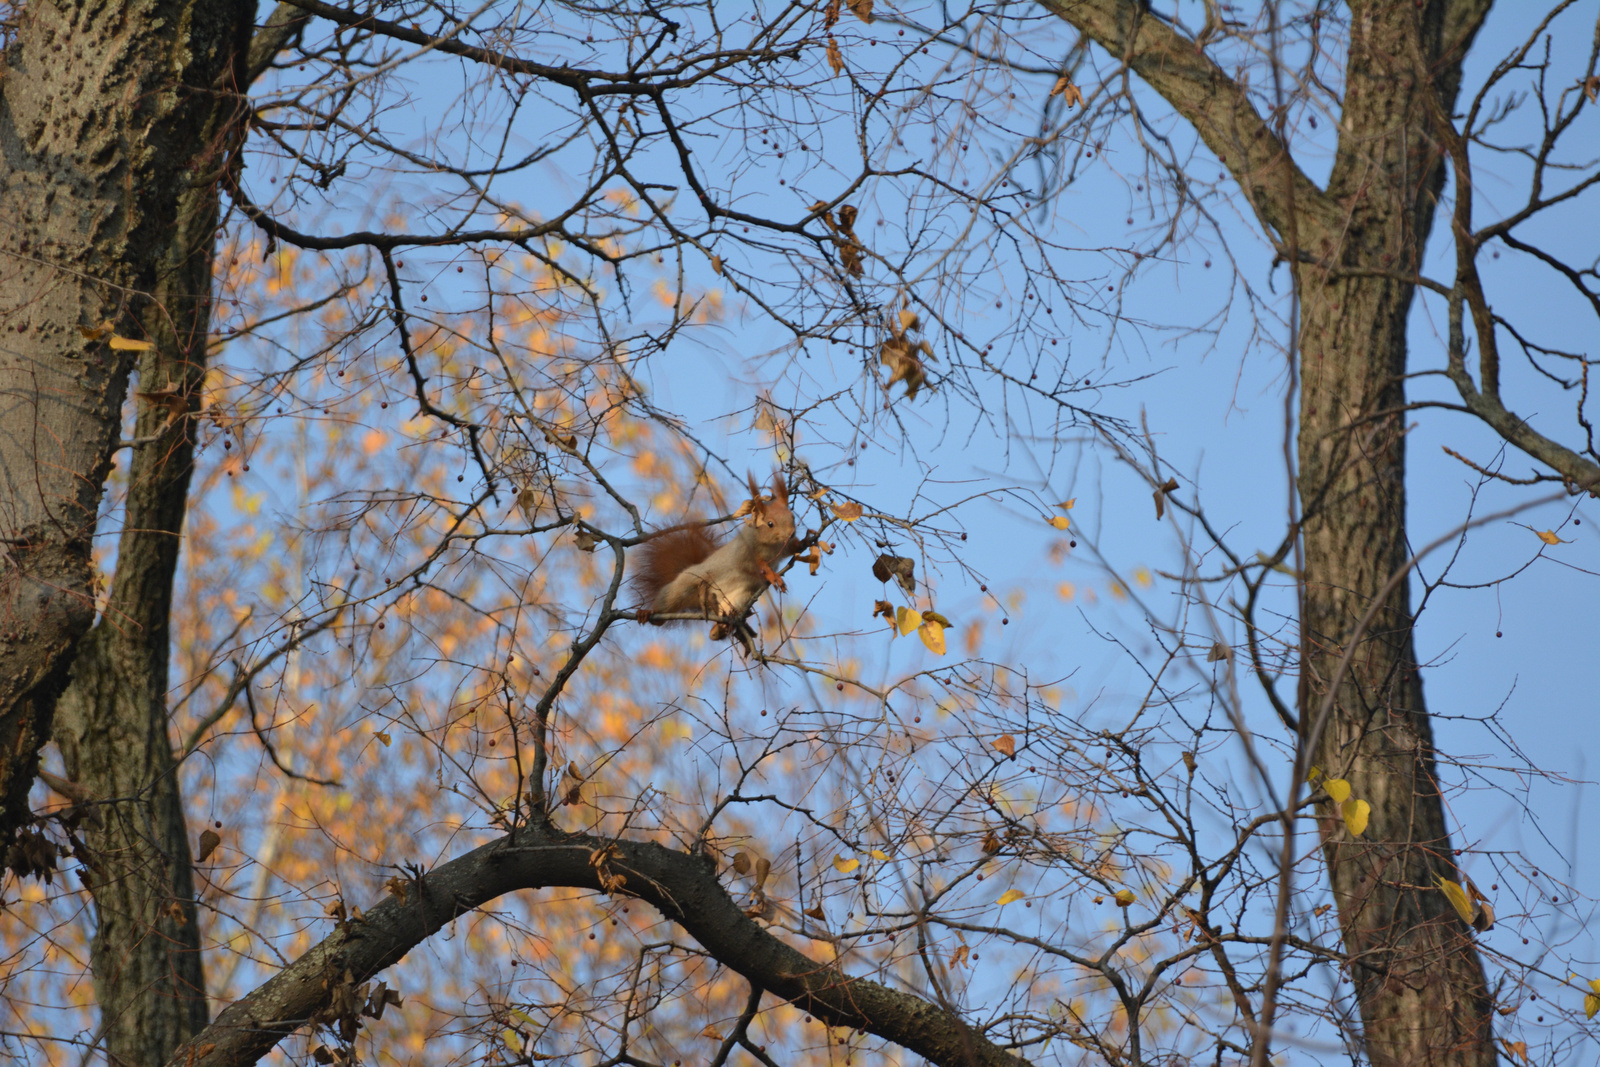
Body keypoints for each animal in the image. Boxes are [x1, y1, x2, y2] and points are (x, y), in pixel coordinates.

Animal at [630, 470, 793, 639]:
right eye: (770, 524)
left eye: (792, 516)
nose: (791, 534)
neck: (771, 546)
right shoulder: (744, 552)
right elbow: (754, 565)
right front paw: (772, 575)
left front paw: (801, 544)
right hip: (684, 585)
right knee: (667, 605)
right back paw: (649, 613)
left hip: (739, 598)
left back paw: (721, 627)